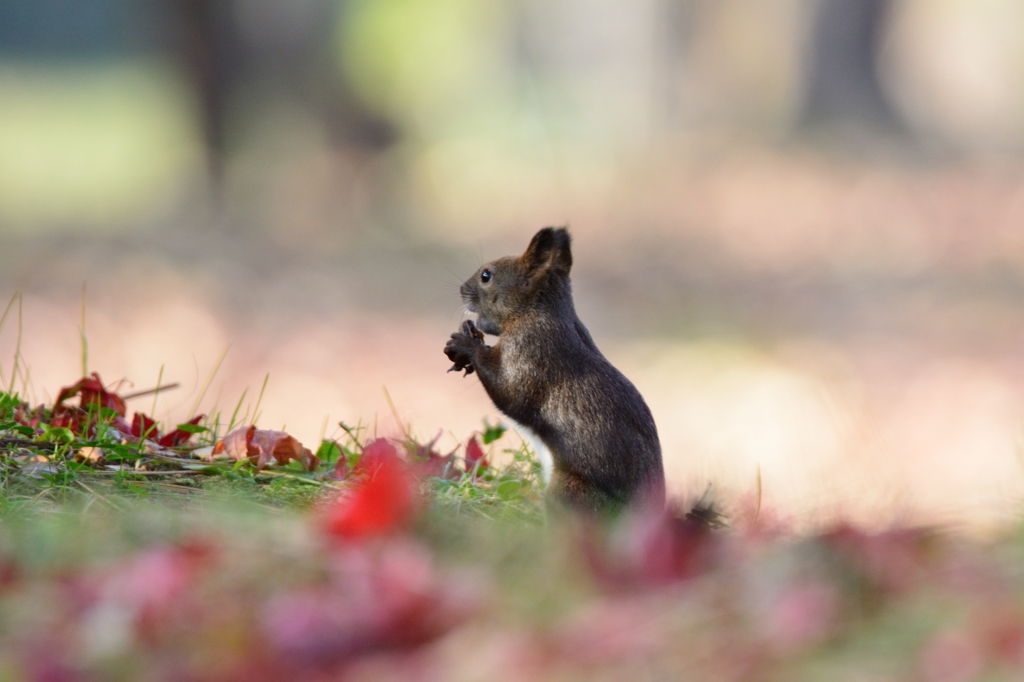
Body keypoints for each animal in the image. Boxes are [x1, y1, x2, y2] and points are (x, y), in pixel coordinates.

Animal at [444, 228, 667, 509]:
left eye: (486, 275)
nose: (462, 289)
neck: (535, 313)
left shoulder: (532, 350)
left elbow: (513, 393)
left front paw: (466, 346)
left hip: (569, 491)